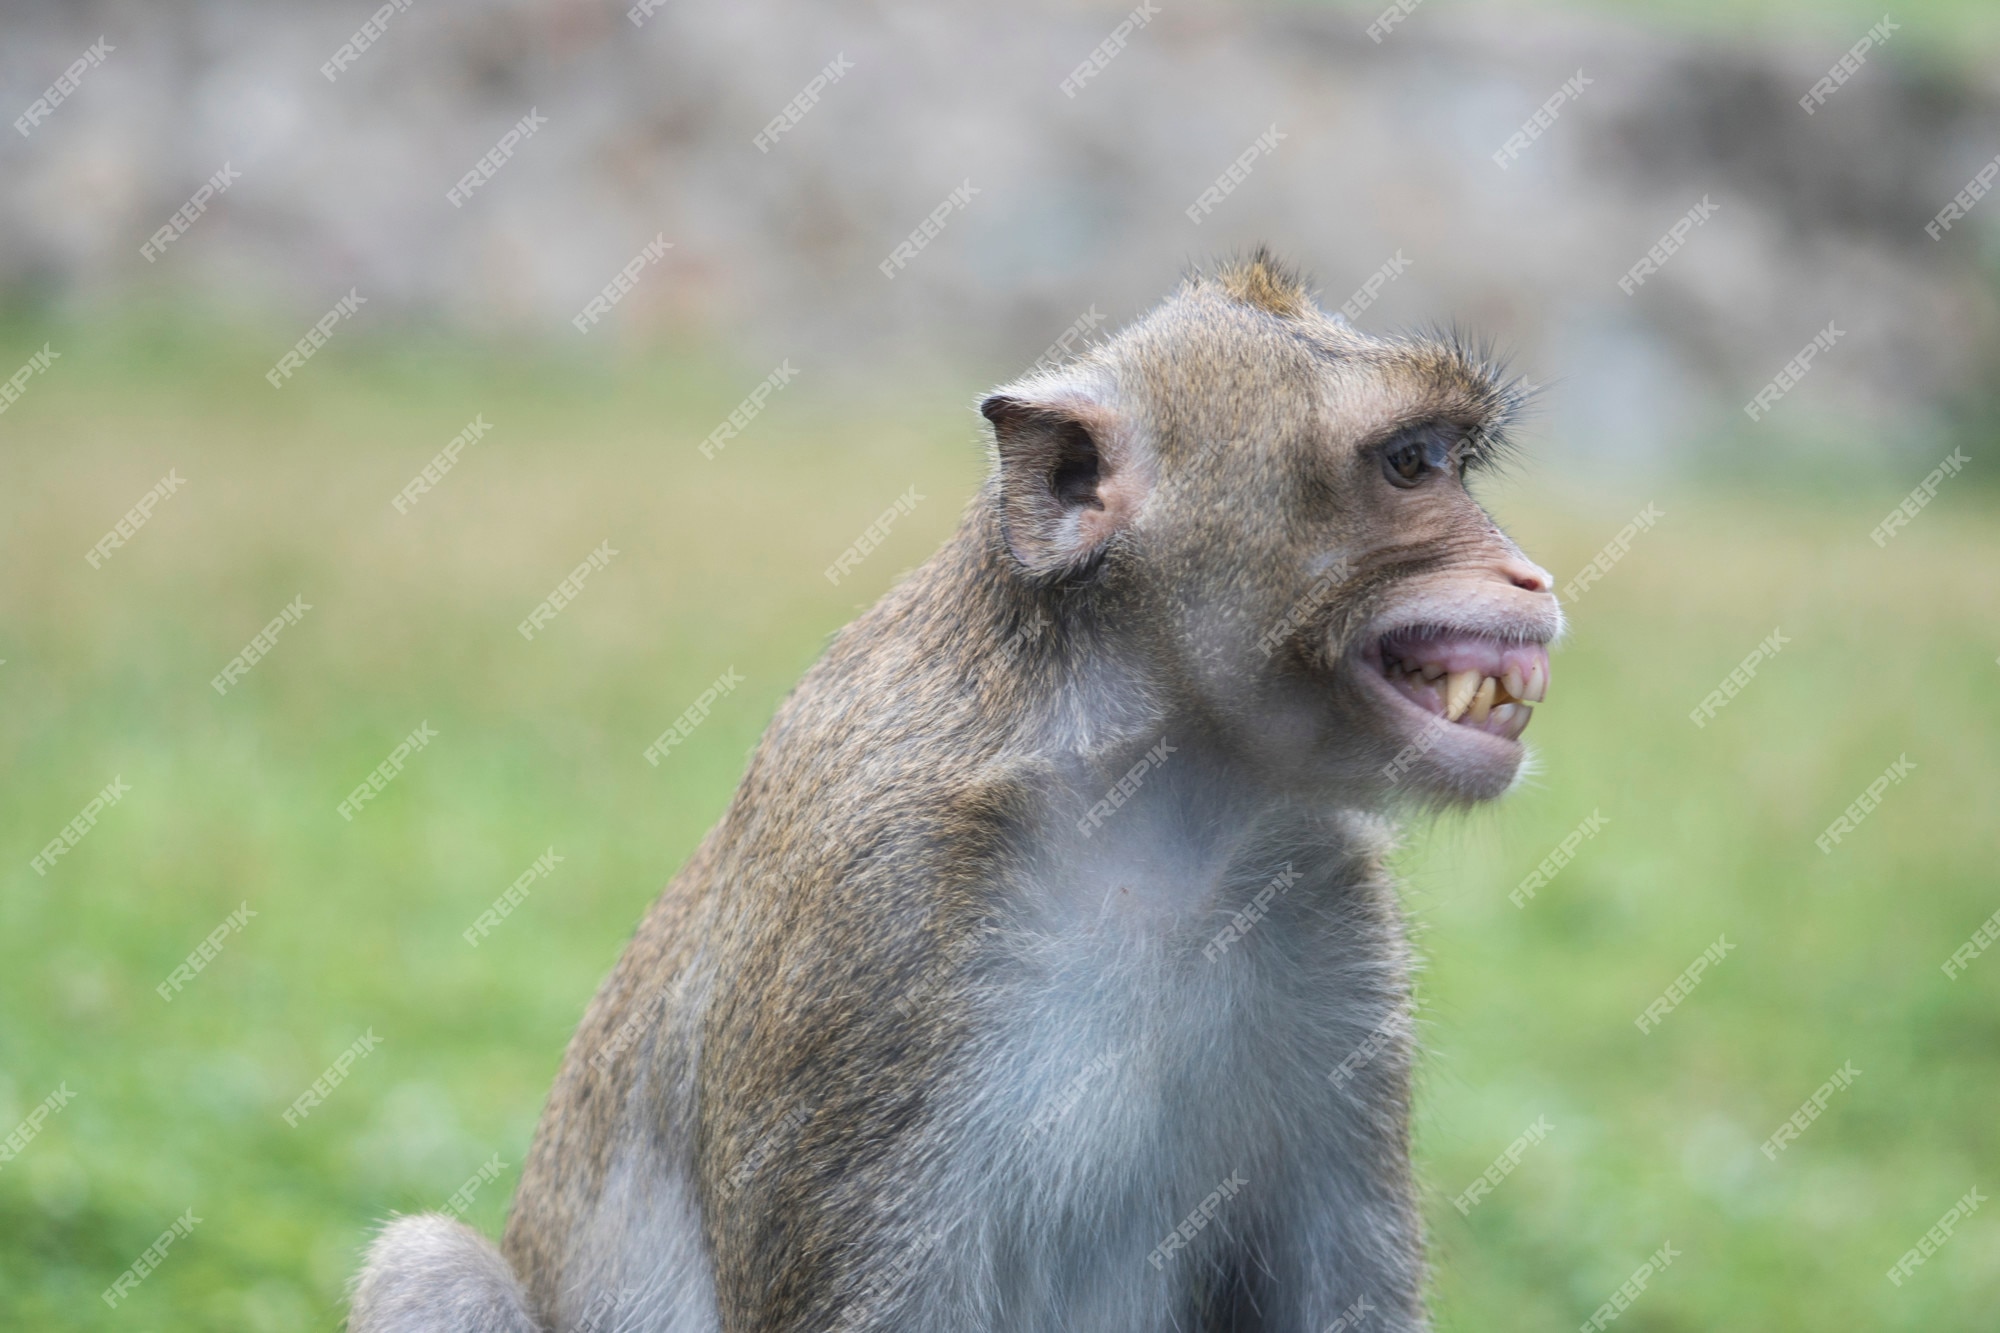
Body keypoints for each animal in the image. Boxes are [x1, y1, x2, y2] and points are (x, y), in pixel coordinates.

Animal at [348, 249, 1560, 1328]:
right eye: (1409, 463)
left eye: (1452, 460)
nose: (1532, 576)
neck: (1158, 802)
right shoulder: (877, 916)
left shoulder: (1328, 901)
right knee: (427, 1267)